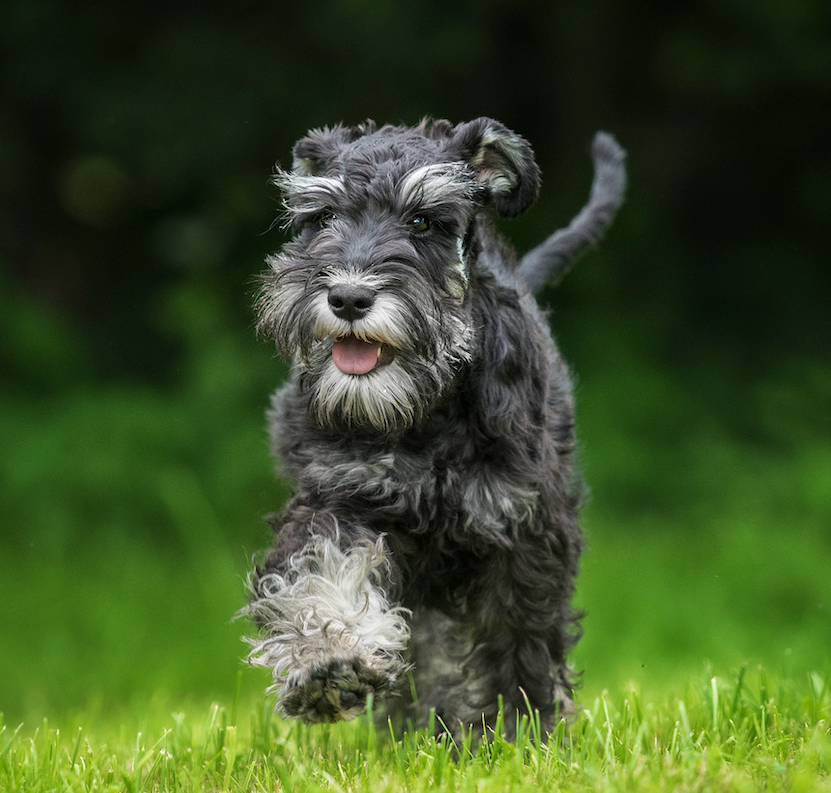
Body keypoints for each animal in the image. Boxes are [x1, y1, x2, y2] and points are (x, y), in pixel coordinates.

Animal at [240, 114, 624, 740]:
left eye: (423, 221)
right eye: (322, 217)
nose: (349, 297)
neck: (426, 412)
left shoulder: (522, 529)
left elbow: (522, 637)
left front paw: (526, 731)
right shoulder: (340, 495)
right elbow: (321, 570)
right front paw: (327, 663)